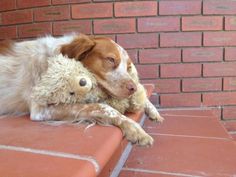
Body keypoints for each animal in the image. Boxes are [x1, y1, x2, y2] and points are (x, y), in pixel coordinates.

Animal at [0, 34, 162, 146]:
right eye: (110, 59)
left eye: (128, 67)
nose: (133, 88)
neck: (52, 60)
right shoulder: (40, 109)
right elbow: (102, 107)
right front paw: (134, 128)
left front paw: (153, 110)